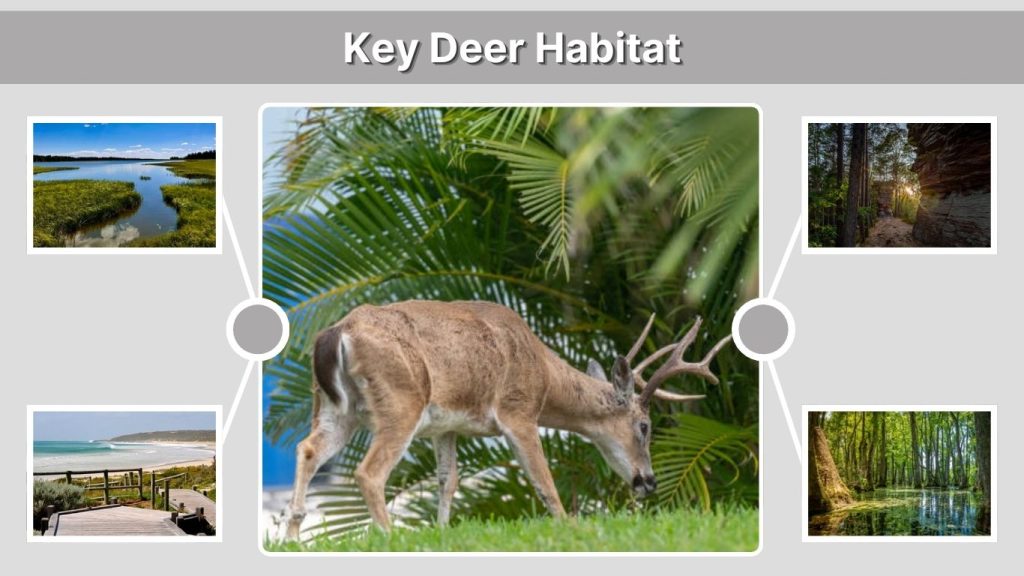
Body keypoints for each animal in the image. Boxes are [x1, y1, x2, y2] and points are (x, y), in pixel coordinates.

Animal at [284, 300, 732, 539]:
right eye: (644, 426)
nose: (648, 482)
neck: (545, 375)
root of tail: (335, 334)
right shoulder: (518, 411)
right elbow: (544, 480)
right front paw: (569, 526)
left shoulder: (446, 426)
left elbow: (449, 480)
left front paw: (442, 532)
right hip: (401, 400)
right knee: (368, 472)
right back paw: (389, 537)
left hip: (335, 408)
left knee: (307, 448)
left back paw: (292, 536)